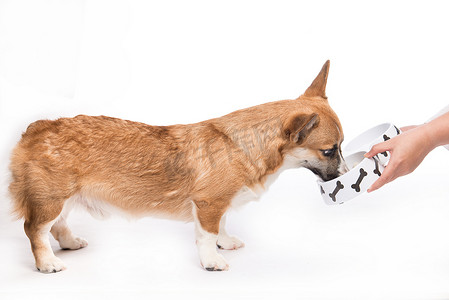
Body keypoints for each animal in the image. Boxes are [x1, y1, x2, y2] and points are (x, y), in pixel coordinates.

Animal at [7, 59, 346, 274]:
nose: (344, 176)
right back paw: (47, 263)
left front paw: (225, 243)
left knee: (58, 224)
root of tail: (37, 128)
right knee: (35, 230)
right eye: (329, 150)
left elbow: (222, 225)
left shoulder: (218, 204)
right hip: (50, 199)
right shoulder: (209, 203)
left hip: (62, 197)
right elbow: (207, 235)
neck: (244, 145)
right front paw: (212, 261)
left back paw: (70, 243)